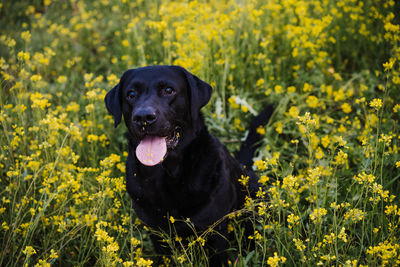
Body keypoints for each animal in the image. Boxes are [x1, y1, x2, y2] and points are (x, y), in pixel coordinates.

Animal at [104, 66, 272, 266]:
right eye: (131, 94)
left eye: (169, 90)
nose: (143, 117)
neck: (167, 174)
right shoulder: (156, 233)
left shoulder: (215, 230)